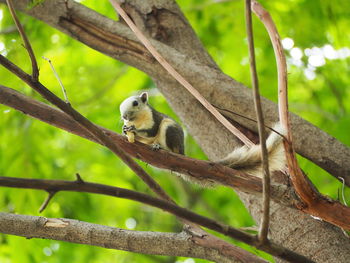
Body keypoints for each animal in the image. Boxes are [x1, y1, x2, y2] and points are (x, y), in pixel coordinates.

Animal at [119, 93, 284, 184]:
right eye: (120, 109)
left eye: (135, 103)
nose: (124, 116)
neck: (137, 119)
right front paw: (125, 131)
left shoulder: (154, 118)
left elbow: (152, 131)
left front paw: (133, 130)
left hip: (170, 130)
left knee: (171, 145)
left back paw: (160, 147)